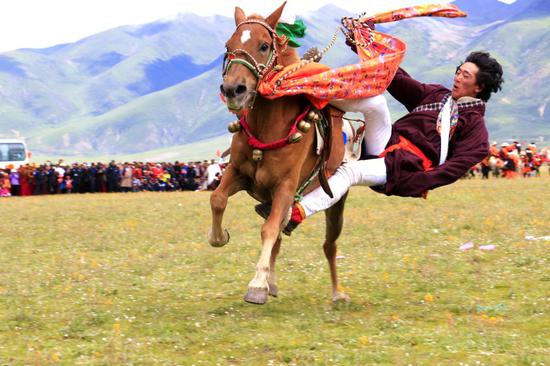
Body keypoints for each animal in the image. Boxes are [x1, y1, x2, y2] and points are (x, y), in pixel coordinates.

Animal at [207, 2, 350, 304]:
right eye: (228, 46)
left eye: (263, 46)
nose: (233, 90)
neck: (267, 127)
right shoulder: (238, 173)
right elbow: (218, 199)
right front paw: (220, 236)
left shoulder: (285, 186)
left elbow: (270, 229)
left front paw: (256, 285)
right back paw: (272, 281)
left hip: (336, 202)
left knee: (329, 245)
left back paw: (337, 293)